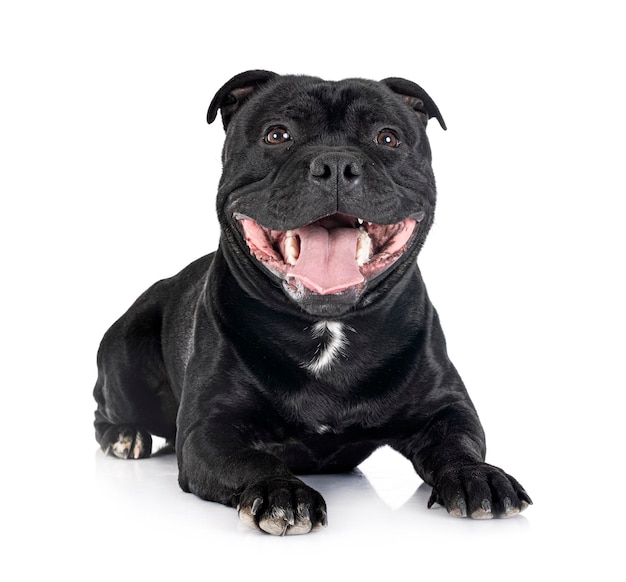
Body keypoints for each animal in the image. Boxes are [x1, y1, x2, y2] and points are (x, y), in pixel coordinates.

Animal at [94, 72, 532, 540]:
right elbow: (252, 458)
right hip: (126, 353)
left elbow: (459, 442)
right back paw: (124, 435)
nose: (336, 164)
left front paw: (477, 476)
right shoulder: (209, 429)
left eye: (388, 138)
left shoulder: (447, 407)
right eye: (277, 135)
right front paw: (282, 491)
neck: (327, 327)